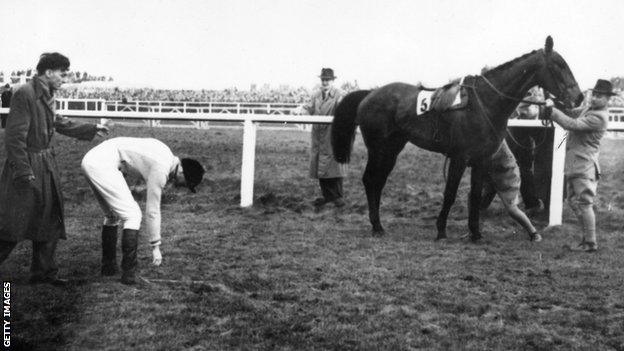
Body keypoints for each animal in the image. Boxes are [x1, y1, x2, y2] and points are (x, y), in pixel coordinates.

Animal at [334, 37, 584, 242]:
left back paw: (378, 225)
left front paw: (476, 233)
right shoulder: (459, 158)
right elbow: (451, 193)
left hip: (392, 149)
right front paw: (441, 230)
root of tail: (369, 94)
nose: (579, 97)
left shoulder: (481, 159)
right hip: (378, 149)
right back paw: (377, 226)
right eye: (559, 65)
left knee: (378, 181)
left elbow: (474, 194)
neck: (484, 102)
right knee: (370, 180)